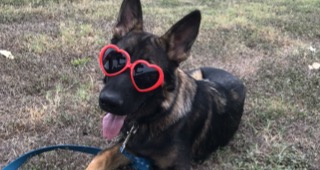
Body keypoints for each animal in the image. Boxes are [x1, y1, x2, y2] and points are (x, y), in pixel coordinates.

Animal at [86, 0, 246, 169]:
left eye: (147, 74)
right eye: (114, 60)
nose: (108, 101)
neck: (159, 114)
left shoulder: (179, 164)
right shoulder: (127, 147)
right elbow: (100, 156)